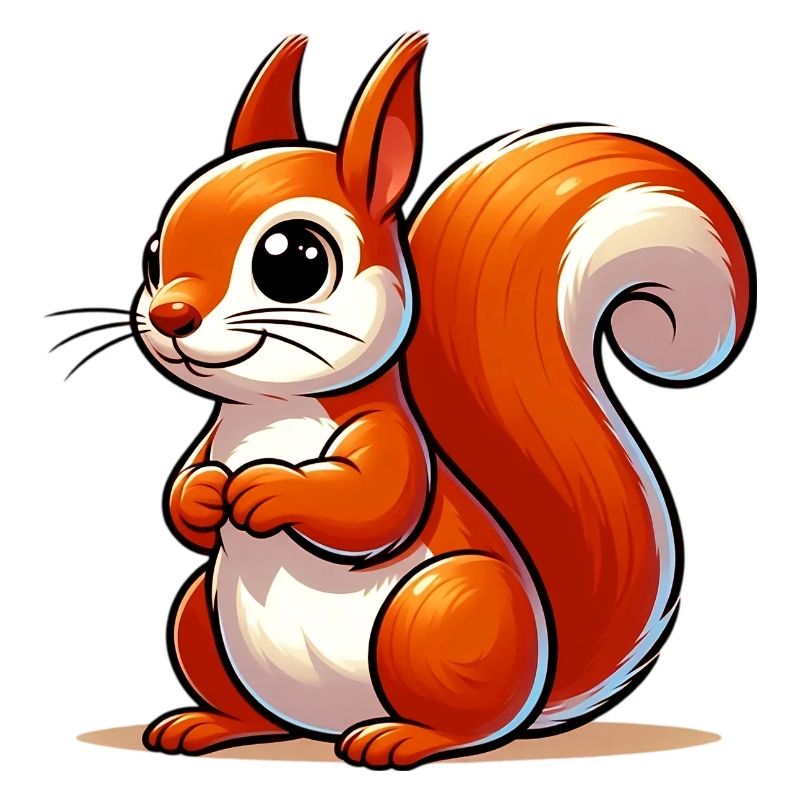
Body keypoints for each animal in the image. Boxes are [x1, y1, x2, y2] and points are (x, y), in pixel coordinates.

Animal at [121, 33, 754, 768]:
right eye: (152, 254)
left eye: (294, 259)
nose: (169, 315)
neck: (271, 410)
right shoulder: (209, 441)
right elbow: (182, 499)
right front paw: (204, 496)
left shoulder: (390, 438)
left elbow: (374, 504)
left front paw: (265, 489)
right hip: (201, 615)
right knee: (249, 703)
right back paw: (208, 723)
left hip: (441, 611)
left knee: (470, 725)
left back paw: (401, 737)